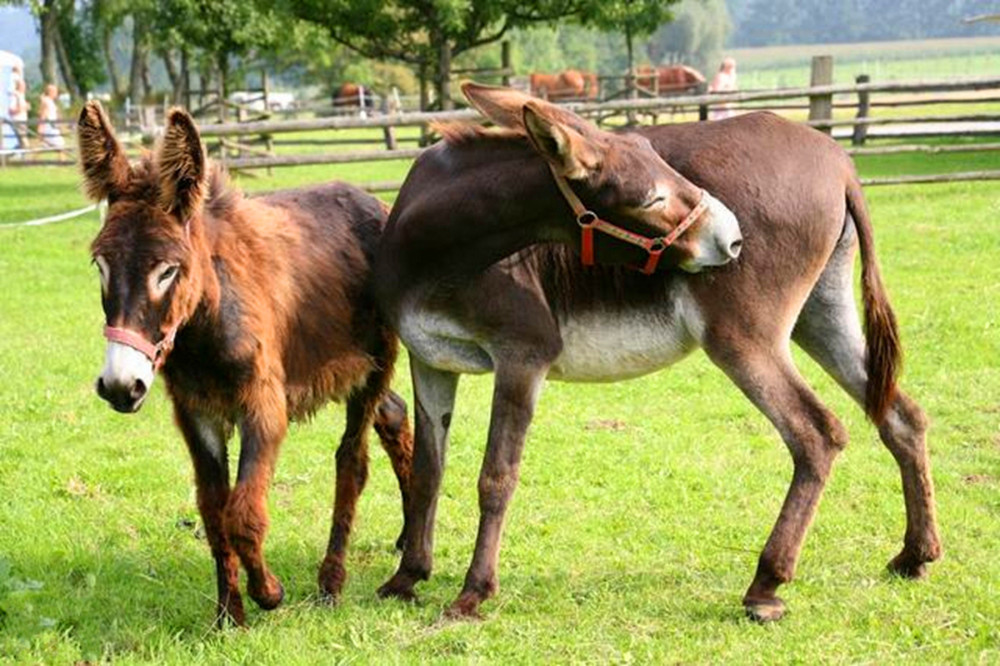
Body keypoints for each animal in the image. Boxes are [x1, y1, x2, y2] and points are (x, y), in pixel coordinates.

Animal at [76, 101, 414, 624]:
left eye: (167, 271)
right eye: (101, 265)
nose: (119, 385)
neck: (203, 325)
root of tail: (373, 202)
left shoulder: (265, 404)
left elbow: (242, 513)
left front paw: (269, 593)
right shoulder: (196, 411)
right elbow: (214, 512)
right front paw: (229, 615)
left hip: (375, 363)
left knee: (353, 462)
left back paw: (331, 581)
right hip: (350, 366)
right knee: (395, 414)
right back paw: (407, 537)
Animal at [374, 85, 936, 620]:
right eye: (651, 200)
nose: (733, 237)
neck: (437, 250)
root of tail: (837, 160)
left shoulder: (523, 354)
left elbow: (497, 475)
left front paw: (471, 594)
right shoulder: (430, 359)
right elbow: (427, 470)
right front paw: (407, 577)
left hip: (743, 336)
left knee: (817, 434)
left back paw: (766, 585)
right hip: (820, 315)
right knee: (900, 414)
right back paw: (915, 554)